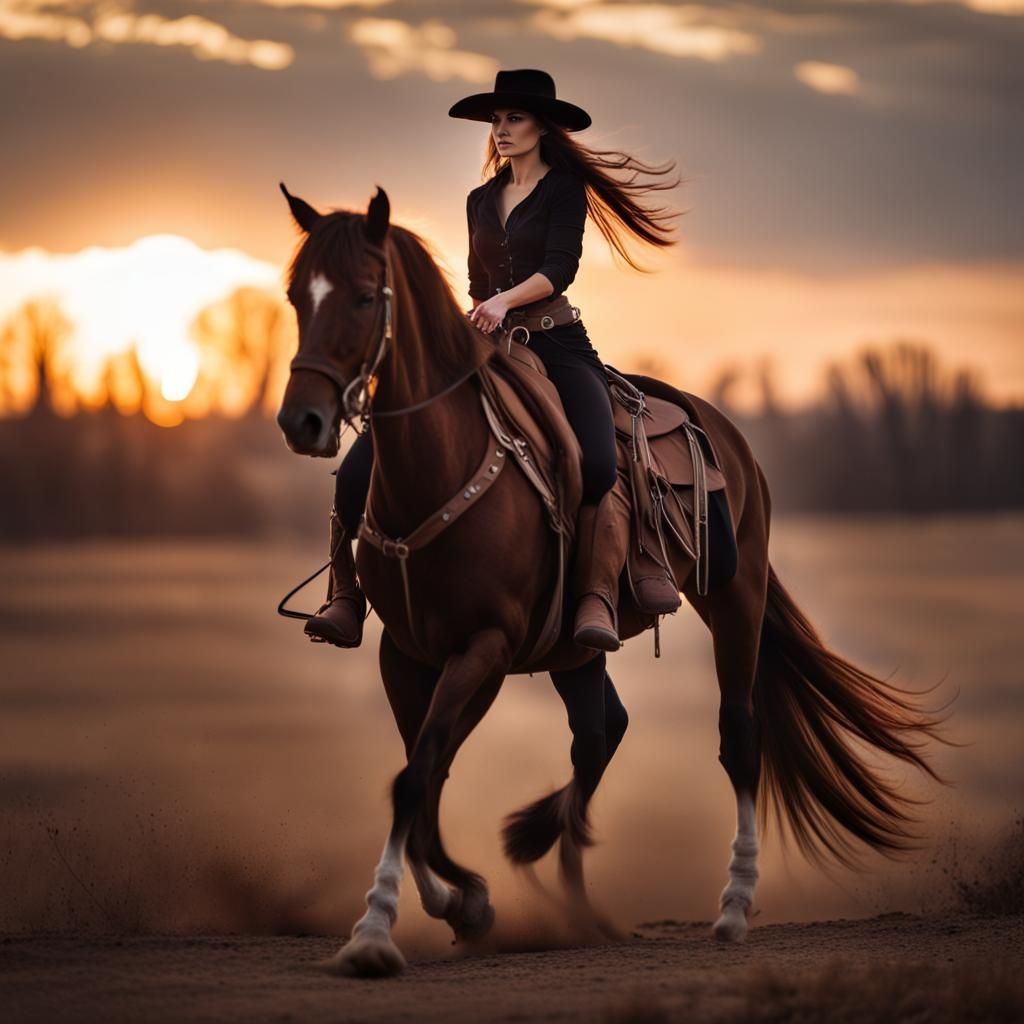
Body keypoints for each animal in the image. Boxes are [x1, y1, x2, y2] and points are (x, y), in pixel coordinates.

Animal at [275, 183, 945, 977]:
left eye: (361, 295)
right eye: (295, 295)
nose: (302, 421)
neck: (441, 461)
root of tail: (725, 430)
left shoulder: (486, 649)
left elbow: (418, 773)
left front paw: (378, 928)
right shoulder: (404, 652)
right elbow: (421, 769)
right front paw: (461, 900)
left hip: (734, 598)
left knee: (737, 734)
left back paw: (733, 904)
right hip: (576, 647)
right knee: (600, 732)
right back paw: (557, 868)